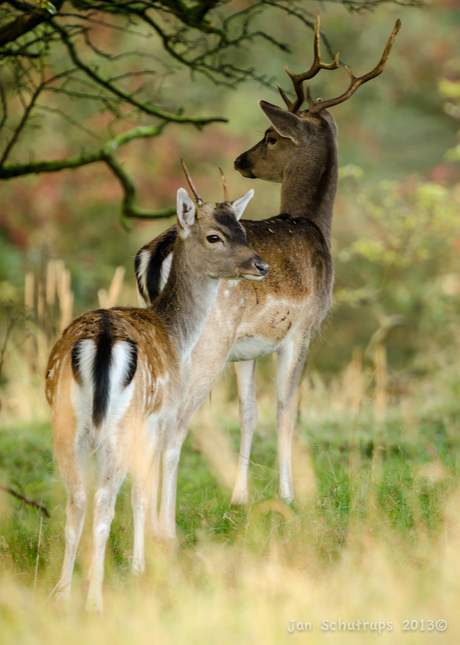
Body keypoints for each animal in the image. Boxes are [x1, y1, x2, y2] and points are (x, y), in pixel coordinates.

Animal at [45, 164, 268, 612]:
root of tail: (103, 339)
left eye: (242, 229)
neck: (174, 333)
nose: (260, 265)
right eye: (214, 236)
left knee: (75, 502)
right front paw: (139, 567)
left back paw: (61, 594)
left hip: (67, 426)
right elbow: (141, 492)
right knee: (103, 503)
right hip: (120, 424)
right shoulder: (157, 419)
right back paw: (94, 600)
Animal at [135, 16, 400, 528]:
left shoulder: (249, 347)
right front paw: (290, 496)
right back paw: (162, 525)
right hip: (208, 340)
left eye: (271, 137)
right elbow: (285, 410)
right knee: (174, 422)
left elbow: (249, 413)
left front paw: (239, 498)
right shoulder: (304, 327)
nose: (242, 160)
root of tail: (157, 251)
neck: (315, 228)